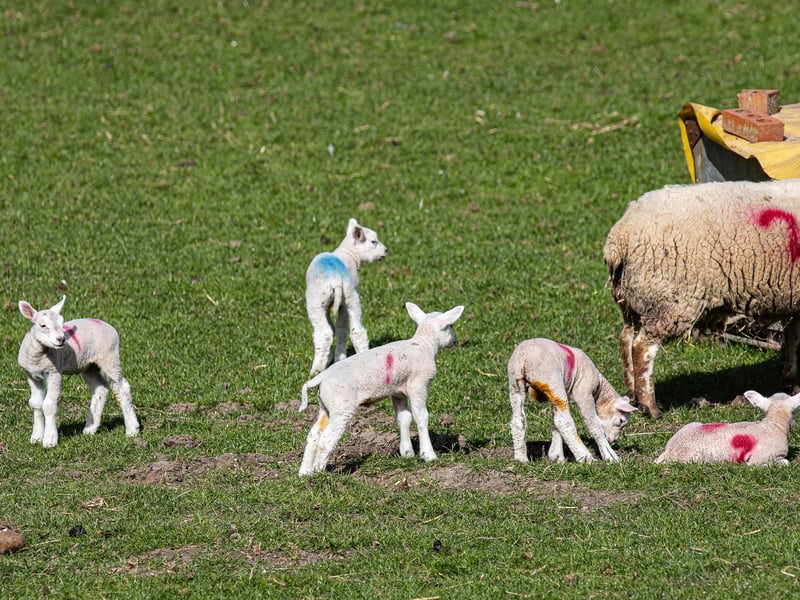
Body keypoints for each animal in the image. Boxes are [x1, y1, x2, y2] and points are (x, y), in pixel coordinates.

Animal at [17, 295, 140, 448]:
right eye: (43, 325)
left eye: (62, 322)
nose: (61, 339)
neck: (38, 358)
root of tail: (106, 325)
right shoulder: (31, 374)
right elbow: (36, 403)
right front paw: (36, 437)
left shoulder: (54, 372)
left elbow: (48, 404)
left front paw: (50, 440)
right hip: (88, 365)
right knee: (100, 389)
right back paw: (90, 428)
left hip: (110, 357)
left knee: (122, 389)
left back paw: (132, 429)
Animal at [297, 302, 464, 476]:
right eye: (451, 325)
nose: (455, 340)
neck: (425, 344)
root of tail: (321, 377)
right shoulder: (418, 384)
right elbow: (421, 416)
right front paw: (428, 455)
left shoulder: (398, 391)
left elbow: (404, 418)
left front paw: (407, 453)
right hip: (341, 407)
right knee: (326, 439)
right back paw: (319, 471)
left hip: (326, 406)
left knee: (314, 433)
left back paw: (305, 472)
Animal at [306, 218, 388, 376]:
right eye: (373, 241)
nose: (386, 251)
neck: (349, 254)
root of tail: (335, 278)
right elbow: (337, 328)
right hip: (348, 296)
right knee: (351, 330)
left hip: (318, 301)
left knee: (326, 333)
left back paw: (316, 369)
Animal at [508, 338, 637, 464]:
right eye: (621, 421)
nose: (613, 440)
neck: (599, 388)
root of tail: (523, 359)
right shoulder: (584, 394)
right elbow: (595, 425)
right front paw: (609, 455)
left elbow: (555, 423)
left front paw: (556, 456)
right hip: (551, 379)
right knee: (564, 421)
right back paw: (585, 457)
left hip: (515, 384)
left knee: (519, 420)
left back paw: (521, 458)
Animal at [603, 178, 800, 419]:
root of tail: (620, 237)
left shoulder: (793, 303)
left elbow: (793, 340)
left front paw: (791, 383)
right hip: (670, 301)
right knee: (642, 348)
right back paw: (650, 407)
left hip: (636, 302)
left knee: (626, 339)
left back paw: (633, 395)